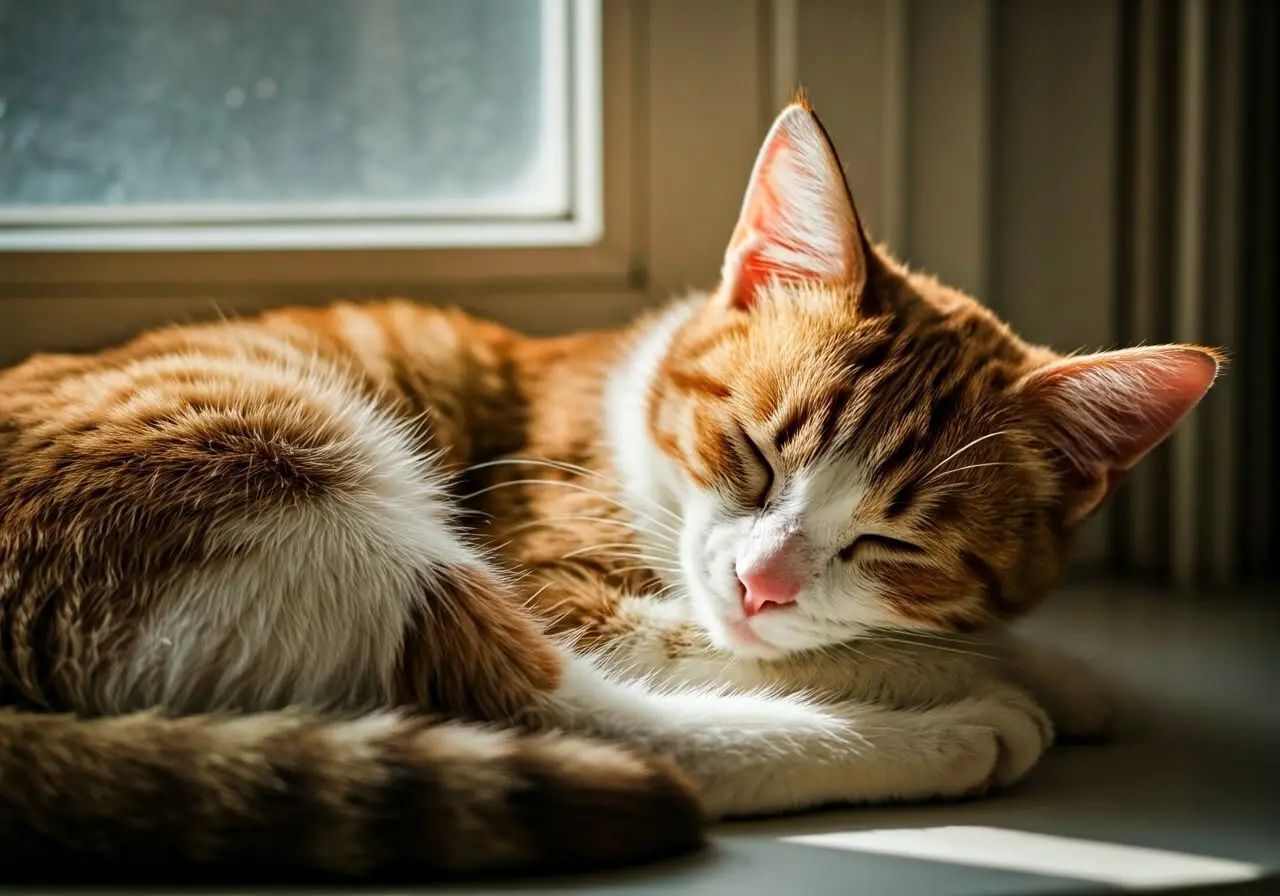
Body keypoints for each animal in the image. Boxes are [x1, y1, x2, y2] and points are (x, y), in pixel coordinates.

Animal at [0, 99, 1218, 880]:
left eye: (896, 544)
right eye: (750, 452)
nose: (762, 583)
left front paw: (1057, 668)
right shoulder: (560, 580)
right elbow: (802, 649)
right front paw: (992, 676)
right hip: (289, 472)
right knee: (586, 723)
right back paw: (941, 737)